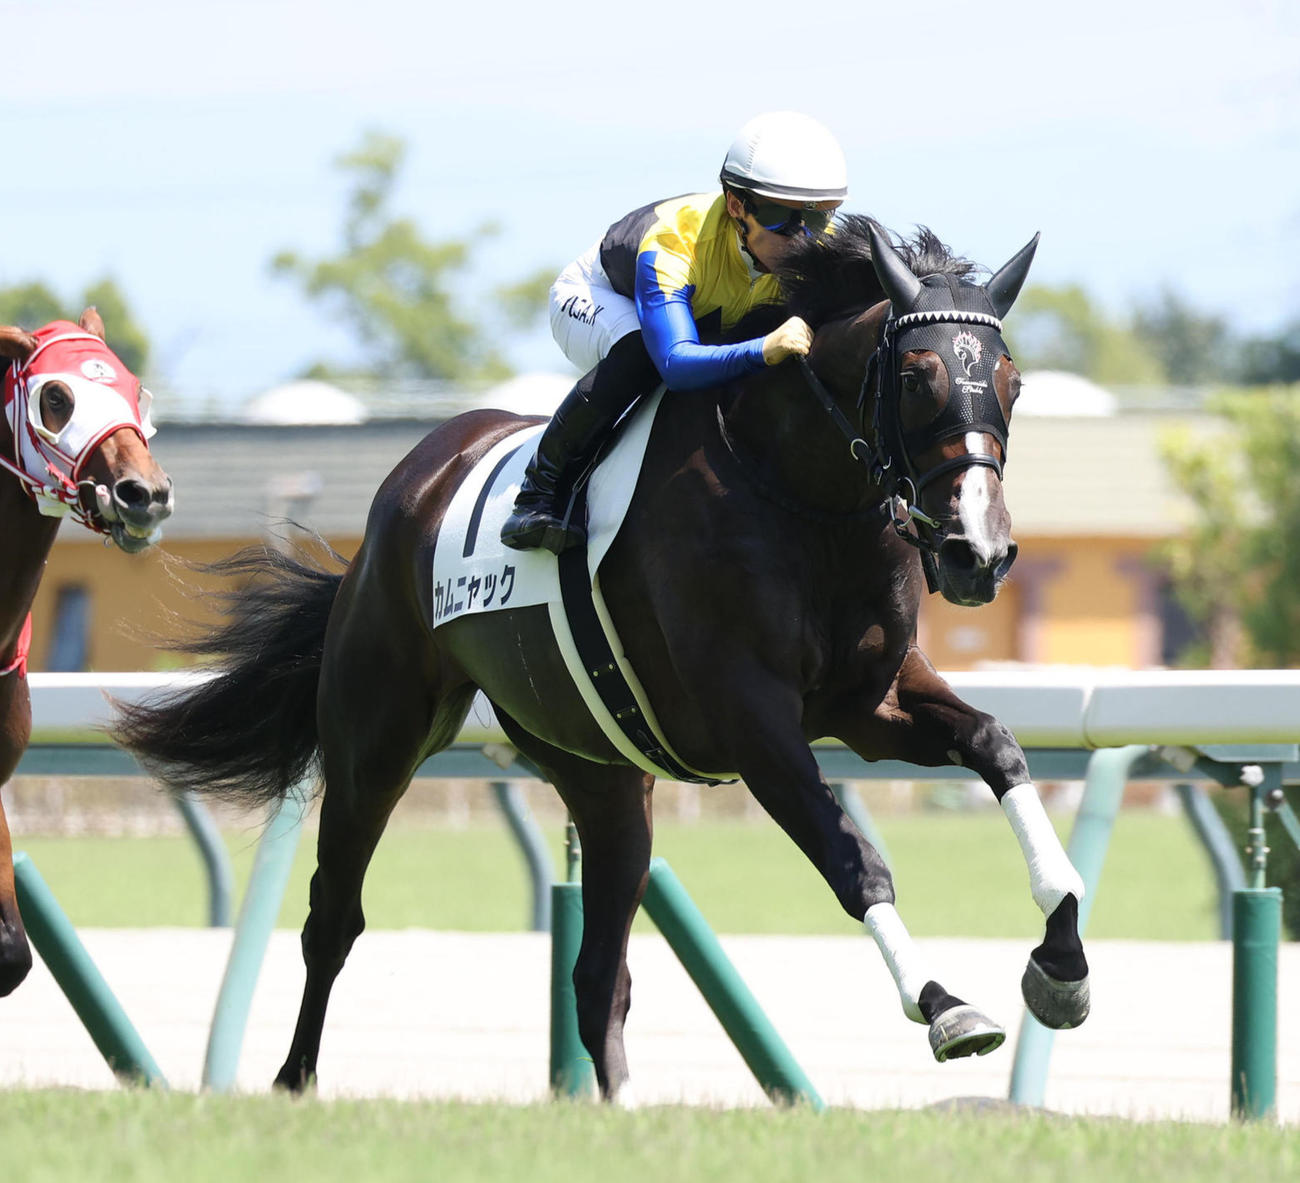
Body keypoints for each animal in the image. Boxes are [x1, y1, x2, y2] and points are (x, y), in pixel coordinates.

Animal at [114, 216, 1090, 1099]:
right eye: (920, 377)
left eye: (1011, 380)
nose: (976, 551)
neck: (799, 489)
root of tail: (407, 487)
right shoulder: (753, 721)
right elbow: (856, 861)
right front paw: (945, 1004)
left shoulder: (869, 702)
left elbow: (997, 747)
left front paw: (1062, 960)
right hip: (374, 740)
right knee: (333, 917)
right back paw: (293, 1078)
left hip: (603, 775)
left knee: (598, 975)